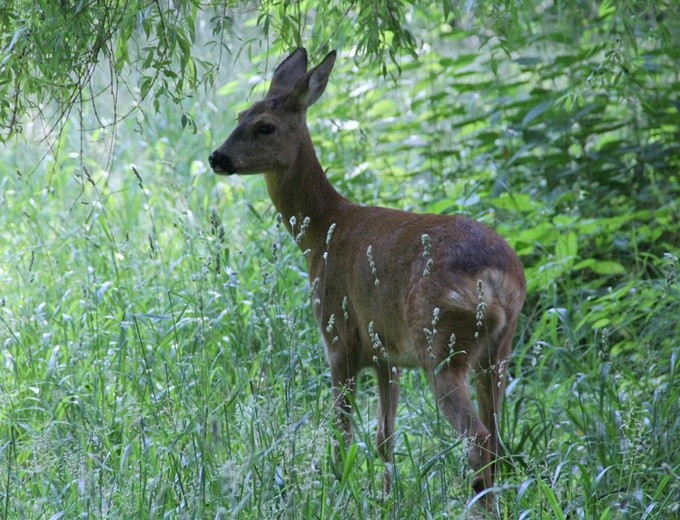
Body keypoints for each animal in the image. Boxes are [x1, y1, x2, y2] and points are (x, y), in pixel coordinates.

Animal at [207, 47, 524, 500]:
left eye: (264, 126)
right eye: (239, 115)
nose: (217, 157)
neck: (323, 229)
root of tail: (496, 279)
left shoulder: (338, 334)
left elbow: (342, 435)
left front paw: (338, 493)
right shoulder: (385, 353)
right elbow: (383, 439)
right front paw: (387, 498)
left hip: (439, 341)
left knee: (478, 439)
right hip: (498, 349)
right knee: (497, 439)